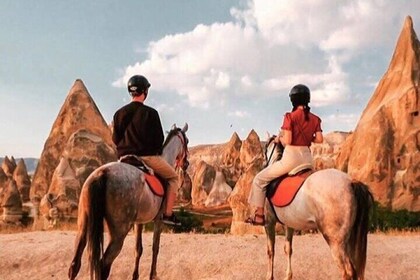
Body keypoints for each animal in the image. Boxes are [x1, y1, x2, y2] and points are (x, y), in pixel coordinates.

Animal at [68, 123, 189, 278]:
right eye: (187, 141)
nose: (186, 164)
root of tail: (102, 174)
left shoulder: (139, 222)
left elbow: (138, 249)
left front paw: (135, 276)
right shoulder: (159, 220)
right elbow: (155, 248)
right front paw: (152, 275)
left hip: (84, 224)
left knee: (74, 265)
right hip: (119, 232)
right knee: (103, 266)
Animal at [262, 135, 374, 278]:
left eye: (265, 148)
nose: (264, 164)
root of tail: (351, 182)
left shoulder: (269, 222)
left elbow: (270, 250)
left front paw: (269, 276)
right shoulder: (289, 224)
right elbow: (288, 249)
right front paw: (288, 276)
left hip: (335, 241)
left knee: (347, 271)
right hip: (350, 238)